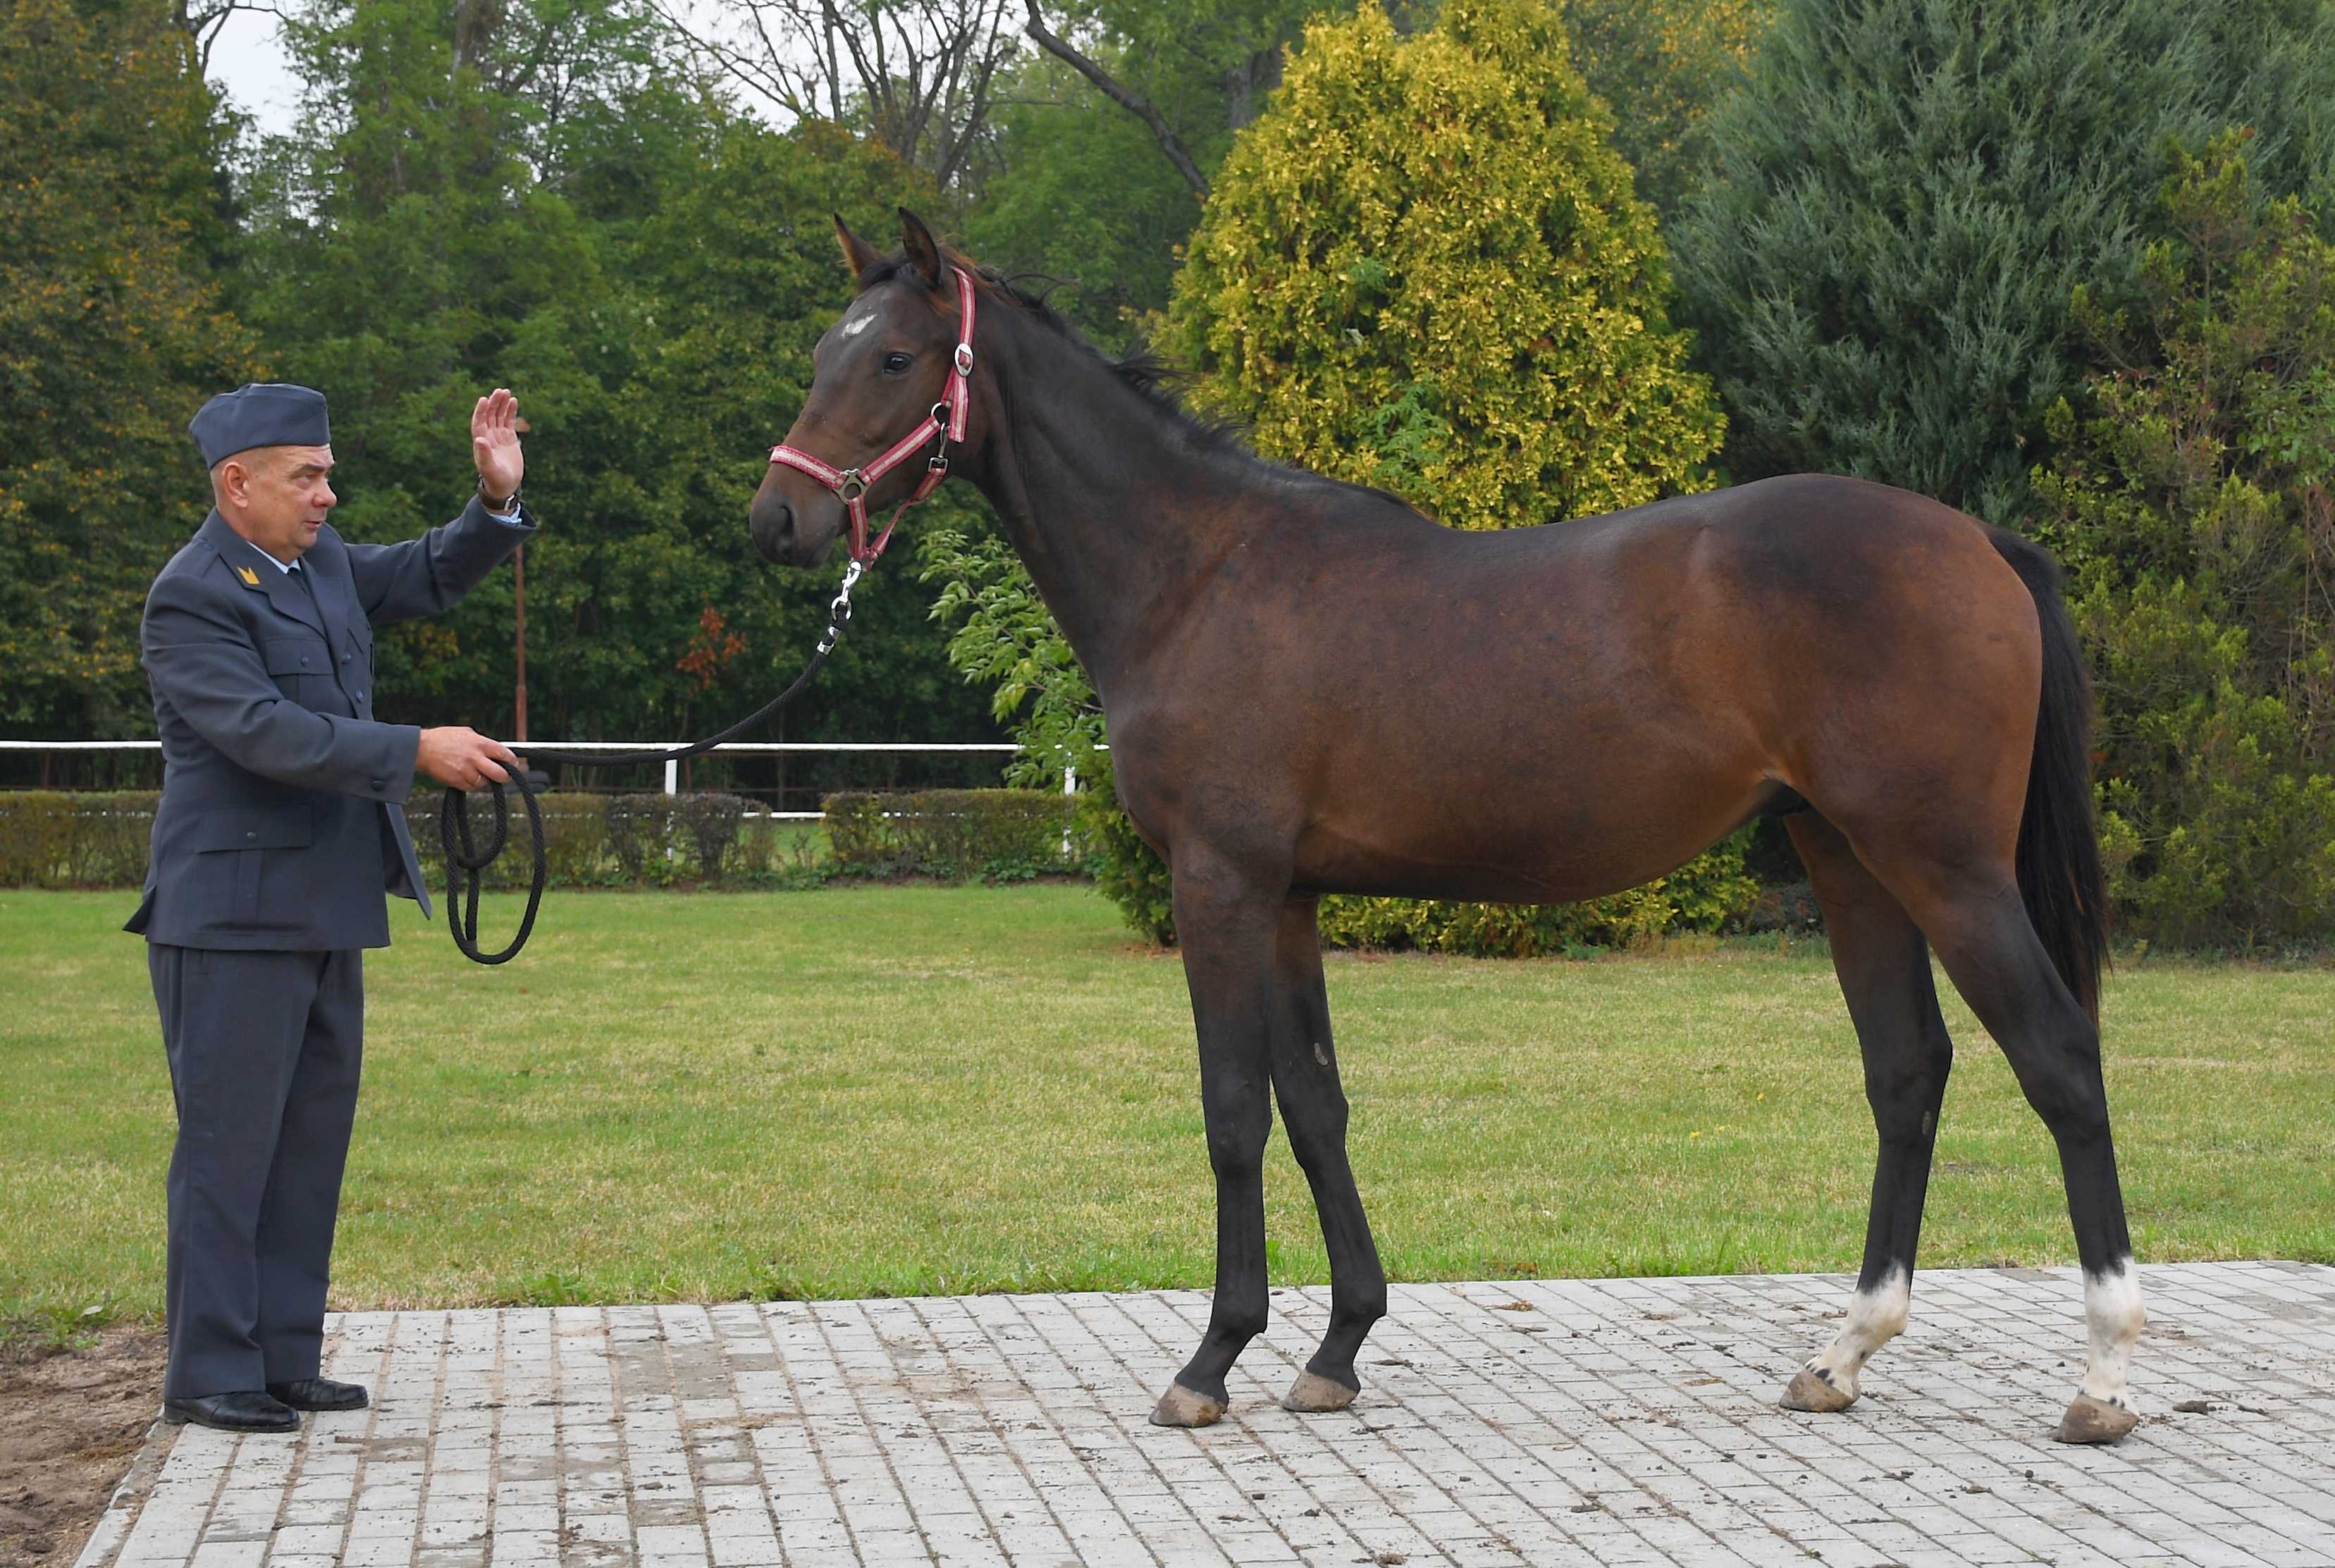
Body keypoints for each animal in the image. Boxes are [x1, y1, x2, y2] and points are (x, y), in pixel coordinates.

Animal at [749, 209, 2144, 1447]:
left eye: (893, 358)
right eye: (820, 351)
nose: (779, 520)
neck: (1199, 573)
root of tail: (1977, 540)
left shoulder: (1220, 883)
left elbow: (1231, 1109)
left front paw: (1209, 1362)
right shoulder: (1289, 897)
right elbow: (1314, 1103)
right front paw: (1335, 1349)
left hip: (1942, 864)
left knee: (2059, 1060)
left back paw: (2101, 1376)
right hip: (1847, 859)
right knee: (1906, 1072)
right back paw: (1840, 1356)